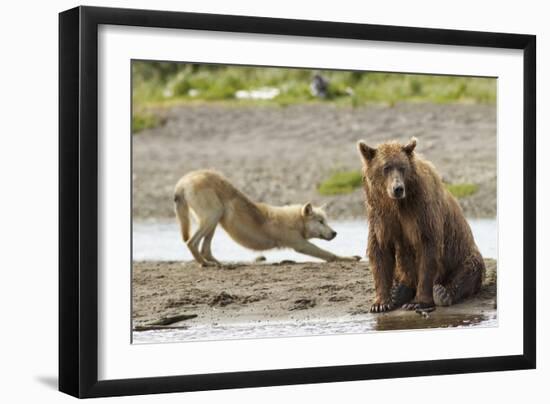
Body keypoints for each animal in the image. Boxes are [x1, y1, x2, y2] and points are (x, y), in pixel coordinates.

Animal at [174, 170, 362, 266]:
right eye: (320, 221)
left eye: (326, 221)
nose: (335, 233)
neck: (296, 221)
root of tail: (184, 180)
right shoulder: (301, 245)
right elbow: (330, 254)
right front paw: (350, 258)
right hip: (213, 215)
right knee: (191, 242)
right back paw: (205, 263)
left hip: (214, 220)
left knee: (204, 248)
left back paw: (219, 263)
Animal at [358, 138, 488, 312]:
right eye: (386, 167)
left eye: (402, 167)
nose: (398, 188)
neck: (397, 204)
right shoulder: (381, 216)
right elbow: (380, 249)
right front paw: (380, 303)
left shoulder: (421, 211)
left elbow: (427, 248)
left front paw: (418, 302)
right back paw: (399, 291)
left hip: (462, 254)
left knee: (469, 270)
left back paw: (442, 293)